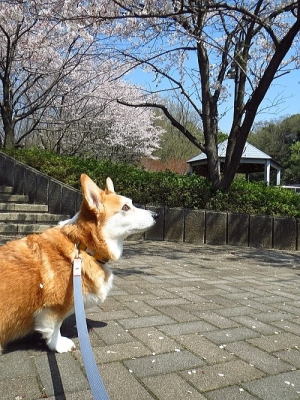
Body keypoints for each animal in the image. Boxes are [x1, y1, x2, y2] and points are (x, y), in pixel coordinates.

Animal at [0, 174, 155, 354]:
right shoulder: (55, 307)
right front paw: (58, 345)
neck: (83, 246)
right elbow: (54, 327)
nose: (157, 214)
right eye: (125, 207)